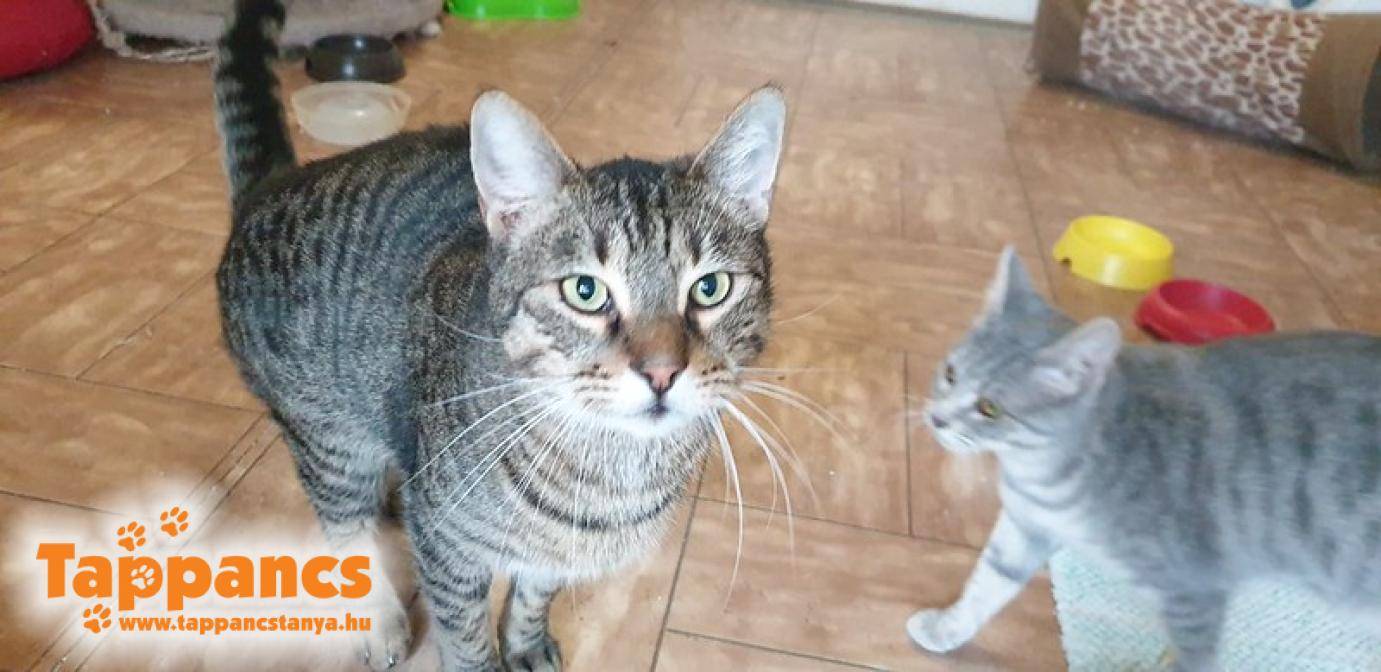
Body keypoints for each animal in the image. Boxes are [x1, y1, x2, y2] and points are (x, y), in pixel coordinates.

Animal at [213, 2, 786, 670]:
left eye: (711, 288)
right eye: (585, 291)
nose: (663, 371)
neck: (610, 474)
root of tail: (273, 184)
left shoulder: (552, 554)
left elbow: (534, 595)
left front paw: (527, 643)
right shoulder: (446, 546)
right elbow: (463, 633)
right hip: (328, 439)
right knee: (344, 527)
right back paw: (378, 620)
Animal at [907, 247, 1381, 671]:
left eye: (989, 408)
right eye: (950, 374)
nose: (936, 418)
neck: (1045, 471)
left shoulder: (1196, 588)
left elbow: (1193, 660)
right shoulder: (1026, 525)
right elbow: (988, 582)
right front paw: (946, 628)